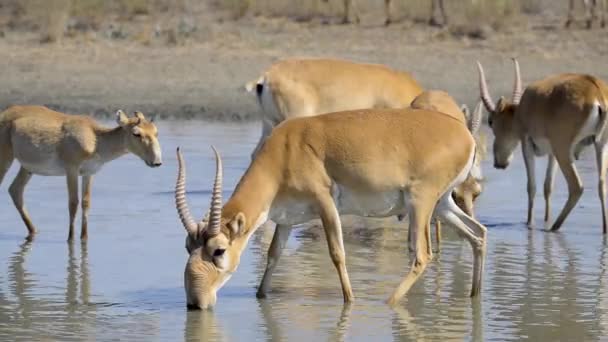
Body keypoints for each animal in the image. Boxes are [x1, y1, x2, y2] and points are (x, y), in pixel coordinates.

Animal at [0, 105, 163, 242]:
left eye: (156, 132)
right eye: (136, 133)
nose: (157, 162)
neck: (96, 139)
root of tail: (4, 113)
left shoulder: (88, 173)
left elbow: (86, 203)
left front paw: (84, 238)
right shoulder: (71, 170)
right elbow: (73, 203)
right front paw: (70, 239)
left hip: (27, 168)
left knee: (15, 190)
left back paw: (34, 231)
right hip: (6, 159)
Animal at [173, 107, 486, 310]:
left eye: (218, 251)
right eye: (188, 247)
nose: (195, 303)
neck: (285, 150)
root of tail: (466, 136)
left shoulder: (325, 204)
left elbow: (337, 253)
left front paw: (350, 301)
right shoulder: (286, 220)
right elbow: (274, 255)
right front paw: (260, 296)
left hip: (421, 204)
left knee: (422, 255)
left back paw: (388, 302)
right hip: (443, 205)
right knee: (478, 233)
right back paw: (474, 295)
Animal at [476, 60, 608, 234]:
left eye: (491, 121)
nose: (499, 163)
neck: (522, 110)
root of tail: (596, 91)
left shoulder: (527, 144)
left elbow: (531, 187)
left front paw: (529, 223)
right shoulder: (553, 154)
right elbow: (548, 187)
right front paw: (545, 219)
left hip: (564, 150)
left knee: (576, 187)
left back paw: (553, 228)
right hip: (600, 145)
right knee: (602, 185)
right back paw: (604, 230)